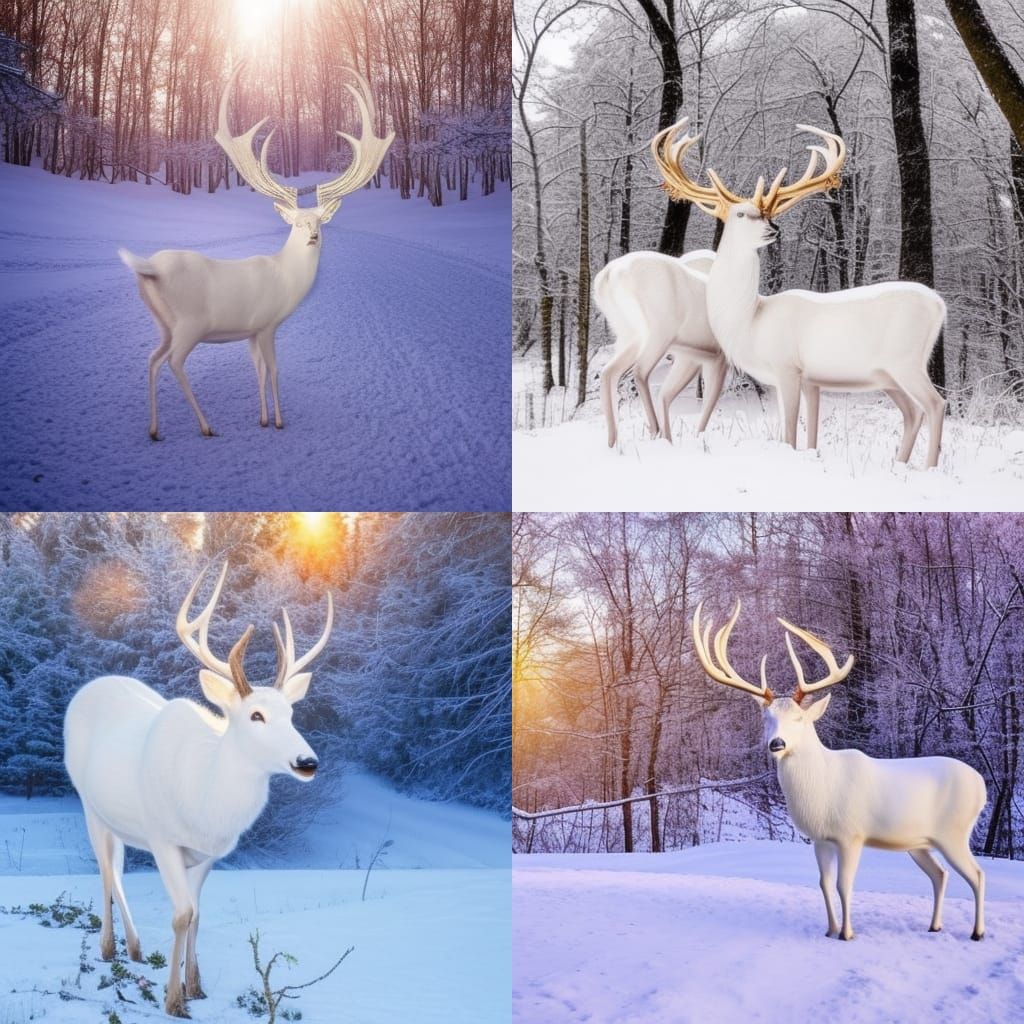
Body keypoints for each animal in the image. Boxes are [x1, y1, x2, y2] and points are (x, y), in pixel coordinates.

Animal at [64, 563, 334, 1017]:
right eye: (256, 715)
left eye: (291, 713)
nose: (307, 761)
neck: (207, 806)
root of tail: (91, 685)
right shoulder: (162, 839)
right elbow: (180, 914)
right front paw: (173, 1000)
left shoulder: (209, 854)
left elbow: (198, 915)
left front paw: (196, 986)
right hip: (89, 803)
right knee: (106, 871)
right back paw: (109, 948)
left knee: (116, 867)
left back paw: (134, 948)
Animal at [119, 61, 394, 440]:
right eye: (297, 223)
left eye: (320, 221)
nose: (313, 237)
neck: (288, 279)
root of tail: (150, 269)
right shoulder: (266, 324)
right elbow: (274, 370)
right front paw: (278, 421)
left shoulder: (250, 331)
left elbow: (259, 371)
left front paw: (262, 419)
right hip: (190, 323)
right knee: (173, 362)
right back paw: (206, 426)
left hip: (164, 323)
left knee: (152, 359)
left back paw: (155, 430)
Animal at [594, 248, 728, 447]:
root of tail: (608, 275)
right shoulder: (720, 357)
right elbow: (709, 401)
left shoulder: (694, 357)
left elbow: (667, 394)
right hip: (658, 332)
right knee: (639, 371)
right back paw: (654, 430)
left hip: (629, 333)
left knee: (609, 371)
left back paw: (613, 441)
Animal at [652, 118, 946, 468]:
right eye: (741, 214)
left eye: (768, 214)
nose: (773, 229)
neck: (751, 321)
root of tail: (939, 305)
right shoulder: (808, 379)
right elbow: (804, 432)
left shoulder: (787, 367)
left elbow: (791, 432)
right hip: (888, 375)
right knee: (913, 412)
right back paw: (899, 464)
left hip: (907, 361)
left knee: (935, 404)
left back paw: (929, 466)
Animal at [692, 600, 987, 942]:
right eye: (766, 717)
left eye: (799, 718)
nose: (776, 744)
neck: (822, 788)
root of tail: (982, 785)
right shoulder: (821, 839)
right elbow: (823, 884)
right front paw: (830, 930)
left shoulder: (851, 833)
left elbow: (844, 885)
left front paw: (847, 934)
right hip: (920, 842)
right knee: (940, 874)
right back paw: (934, 925)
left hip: (955, 831)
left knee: (977, 873)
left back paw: (977, 932)